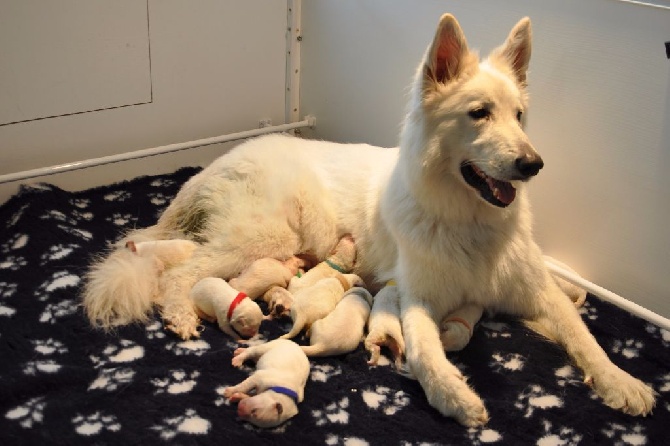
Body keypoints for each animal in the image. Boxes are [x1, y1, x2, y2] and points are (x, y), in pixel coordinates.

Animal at [84, 13, 656, 426]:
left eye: (519, 117)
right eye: (479, 114)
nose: (533, 165)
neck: (468, 221)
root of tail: (215, 164)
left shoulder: (534, 293)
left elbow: (582, 334)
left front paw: (621, 381)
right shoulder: (418, 300)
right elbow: (425, 353)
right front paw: (455, 397)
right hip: (261, 239)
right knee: (180, 272)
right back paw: (181, 314)